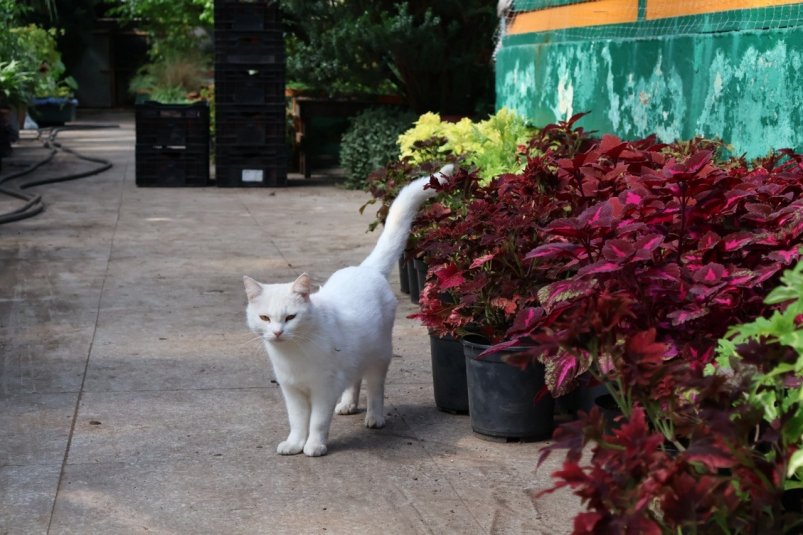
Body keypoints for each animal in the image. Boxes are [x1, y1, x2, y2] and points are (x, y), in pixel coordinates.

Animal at [243, 166, 452, 456]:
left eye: (290, 318)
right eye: (264, 318)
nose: (277, 332)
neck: (294, 354)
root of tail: (366, 269)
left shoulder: (324, 388)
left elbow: (317, 421)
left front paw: (314, 445)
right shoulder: (292, 390)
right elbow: (297, 421)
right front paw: (295, 443)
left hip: (380, 356)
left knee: (375, 387)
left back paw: (375, 417)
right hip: (354, 357)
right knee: (354, 378)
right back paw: (348, 404)